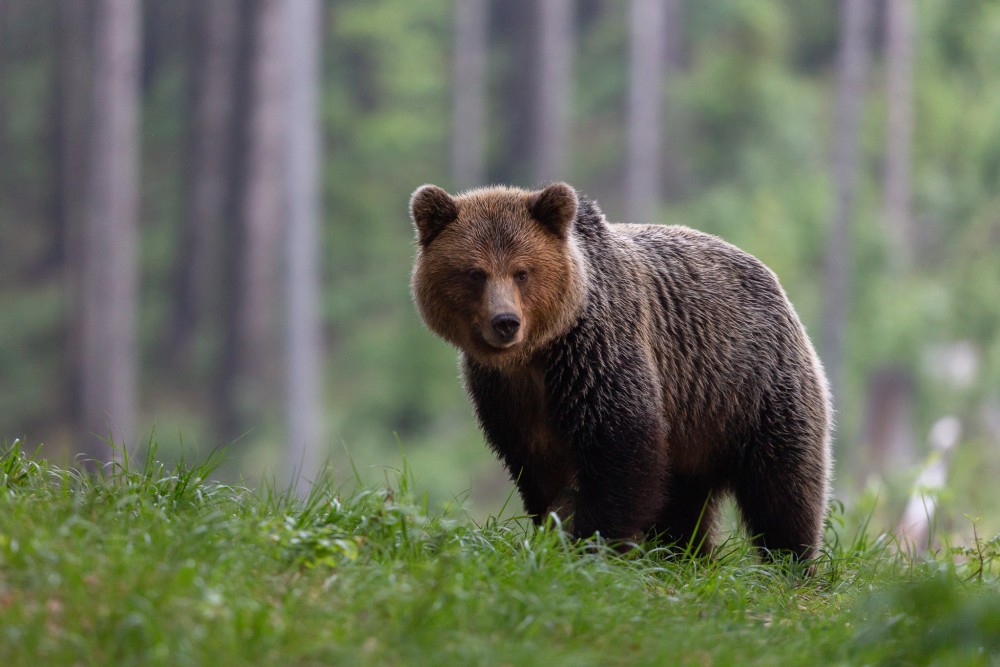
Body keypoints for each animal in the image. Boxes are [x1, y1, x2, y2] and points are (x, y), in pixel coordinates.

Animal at [410, 181, 832, 560]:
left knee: (783, 486)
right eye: (475, 272)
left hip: (750, 386)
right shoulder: (504, 393)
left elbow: (621, 450)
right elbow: (536, 466)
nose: (505, 322)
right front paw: (553, 527)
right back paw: (687, 555)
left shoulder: (597, 355)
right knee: (686, 501)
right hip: (695, 424)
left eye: (522, 272)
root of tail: (772, 279)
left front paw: (592, 542)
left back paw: (791, 562)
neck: (536, 354)